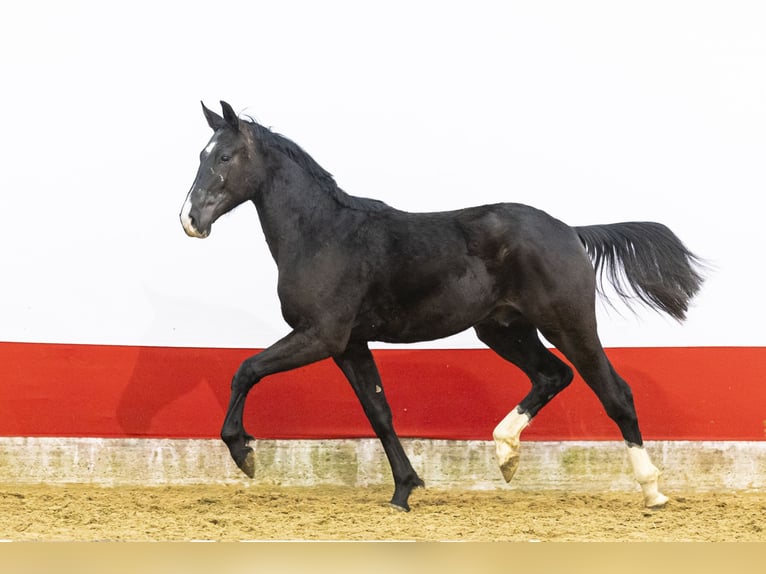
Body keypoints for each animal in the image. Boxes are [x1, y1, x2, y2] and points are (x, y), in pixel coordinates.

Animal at [180, 101, 704, 511]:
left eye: (223, 155)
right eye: (201, 154)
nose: (190, 219)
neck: (323, 234)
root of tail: (571, 231)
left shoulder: (320, 335)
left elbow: (246, 369)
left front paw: (244, 453)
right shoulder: (350, 343)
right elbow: (379, 412)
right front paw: (404, 491)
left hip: (568, 324)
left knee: (615, 392)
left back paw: (653, 492)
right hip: (503, 329)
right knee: (553, 375)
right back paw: (506, 454)